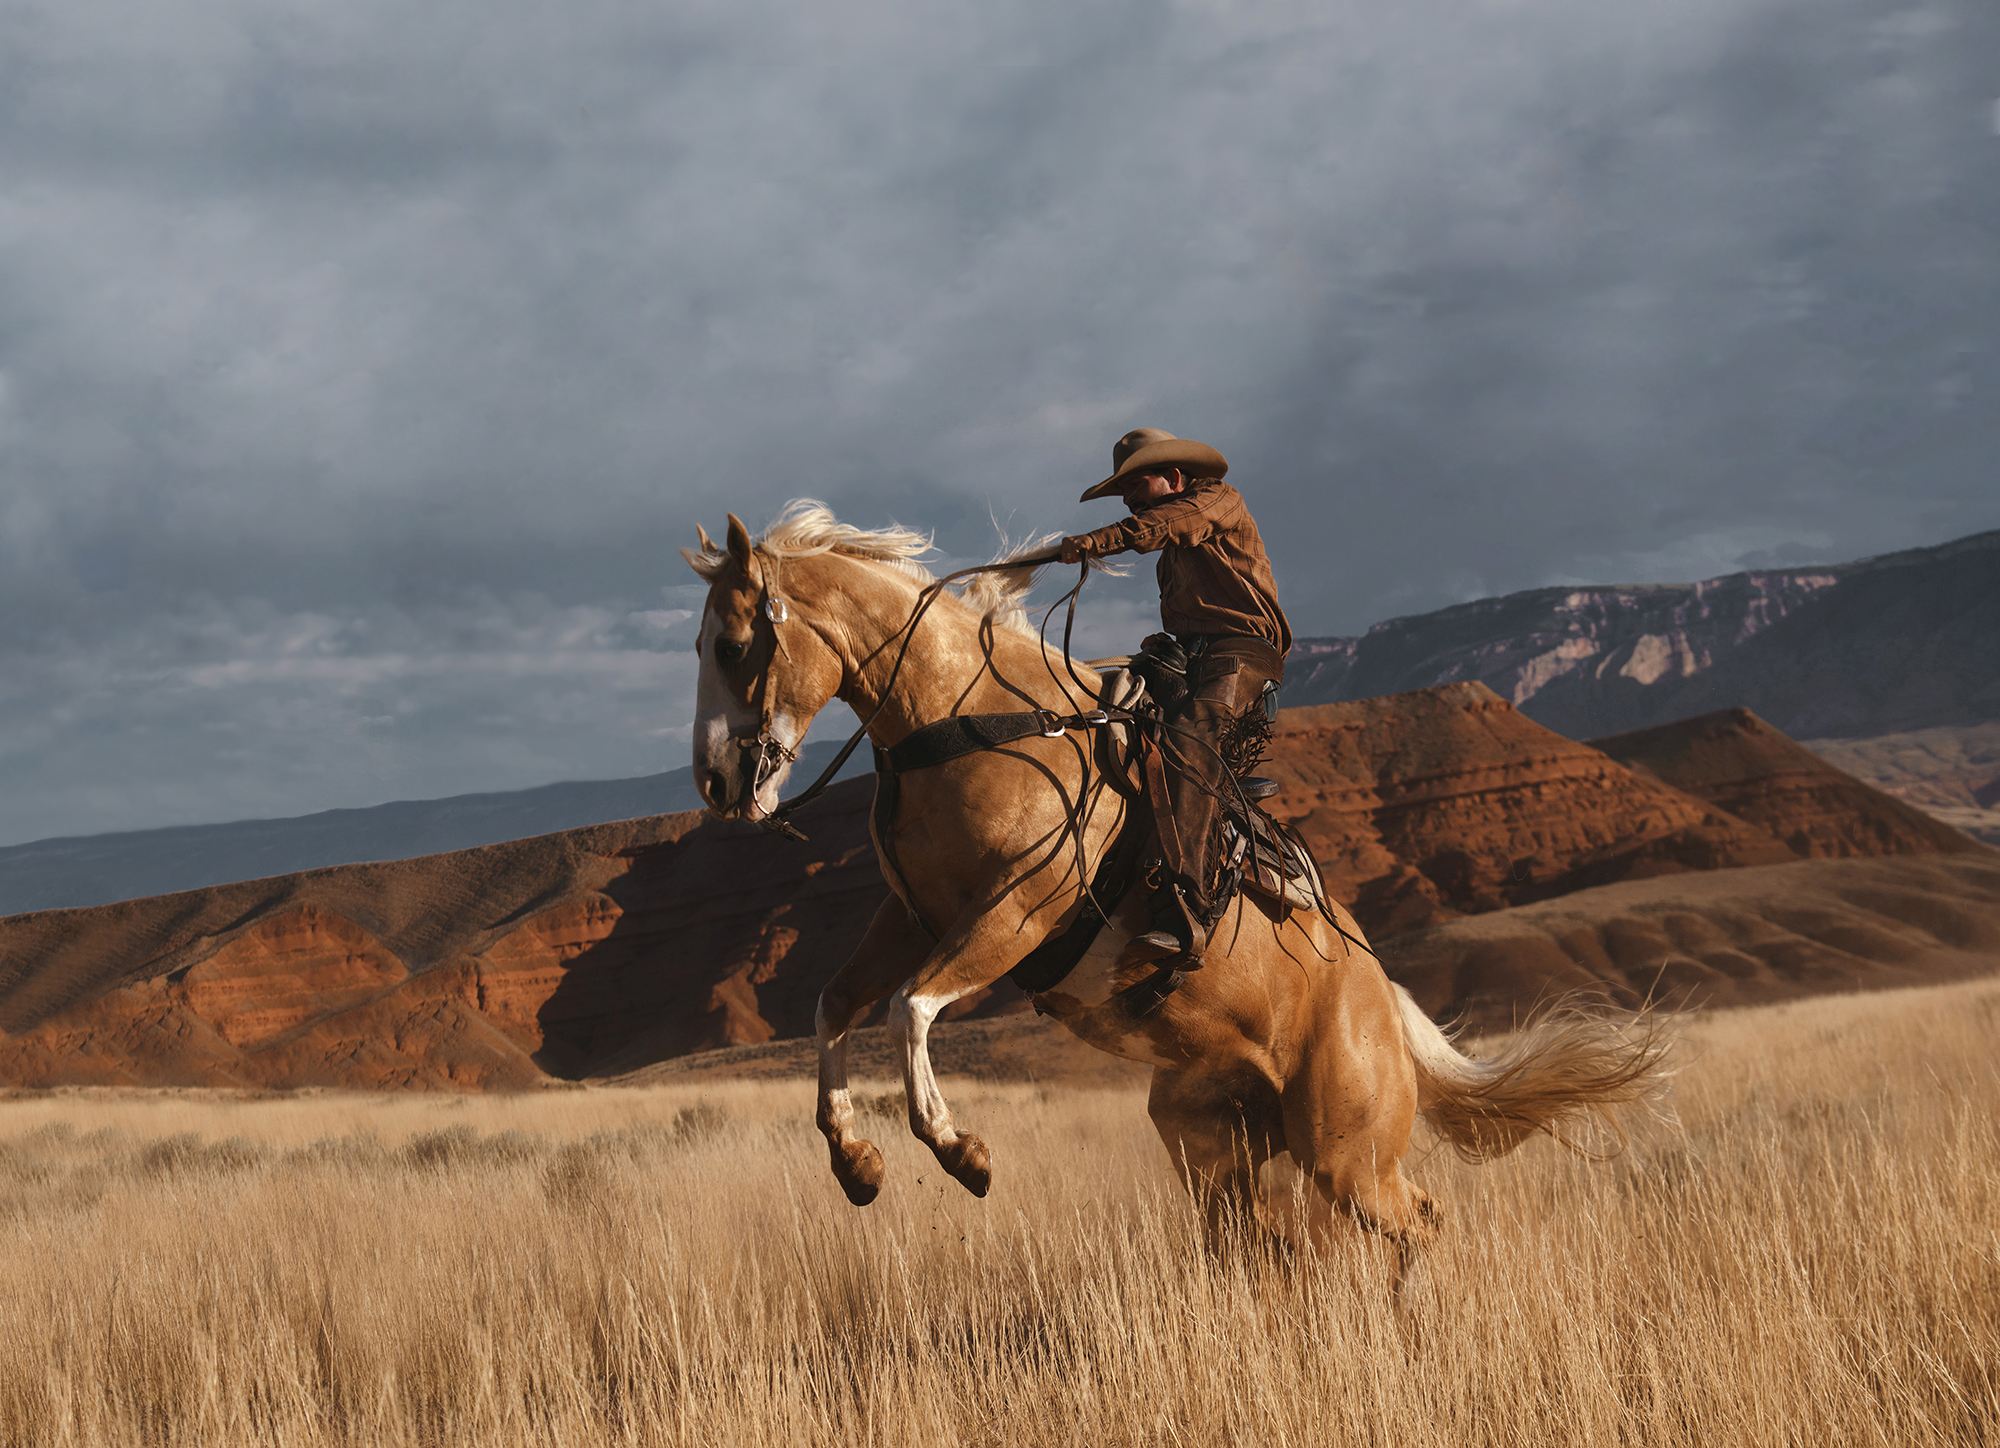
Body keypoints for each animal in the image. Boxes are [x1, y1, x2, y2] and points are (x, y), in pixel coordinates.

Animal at [680, 500, 1664, 1280]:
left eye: (731, 646)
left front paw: (963, 1153)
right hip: (1218, 1148)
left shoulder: (1018, 909)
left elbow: (909, 1009)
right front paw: (857, 1163)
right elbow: (836, 1006)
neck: (969, 718)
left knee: (1418, 1220)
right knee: (1272, 1242)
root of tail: (1378, 993)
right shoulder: (908, 918)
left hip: (1346, 1153)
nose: (717, 784)